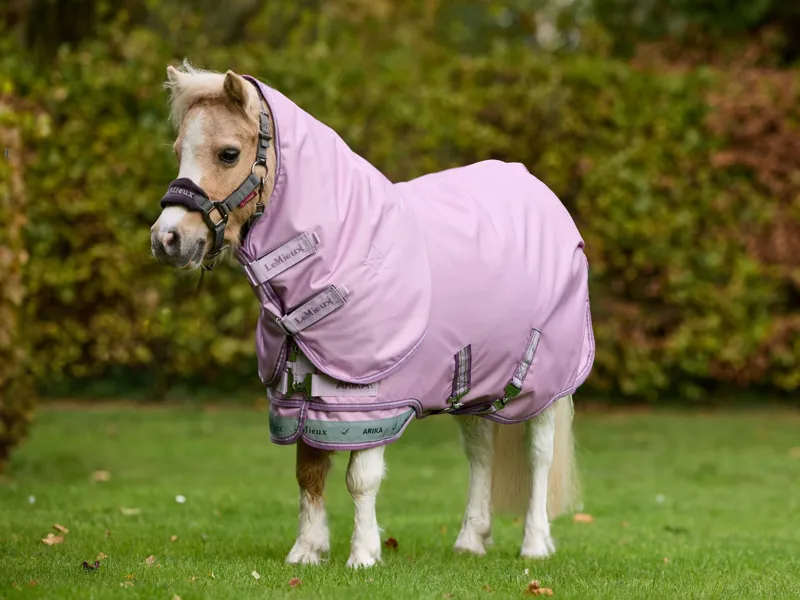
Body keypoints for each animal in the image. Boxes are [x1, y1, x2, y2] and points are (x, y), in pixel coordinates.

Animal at [150, 61, 594, 568]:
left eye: (228, 154)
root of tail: (541, 194)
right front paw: (306, 551)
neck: (346, 250)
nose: (167, 240)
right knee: (480, 452)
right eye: (179, 151)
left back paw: (535, 545)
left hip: (545, 384)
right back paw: (470, 540)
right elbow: (308, 472)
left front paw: (362, 555)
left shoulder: (372, 398)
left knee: (539, 454)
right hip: (474, 380)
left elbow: (360, 479)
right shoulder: (297, 396)